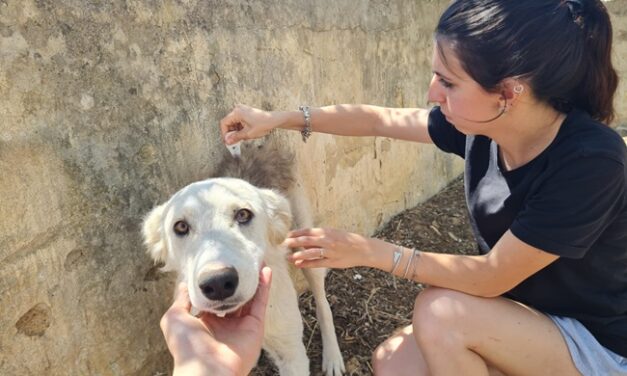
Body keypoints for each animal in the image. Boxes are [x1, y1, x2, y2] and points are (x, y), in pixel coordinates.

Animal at [141, 145, 344, 376]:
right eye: (181, 226)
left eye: (243, 214)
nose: (218, 283)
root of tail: (252, 149)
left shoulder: (291, 352)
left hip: (307, 247)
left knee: (322, 303)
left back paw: (332, 356)